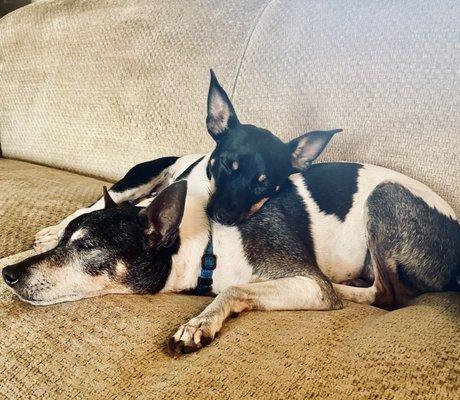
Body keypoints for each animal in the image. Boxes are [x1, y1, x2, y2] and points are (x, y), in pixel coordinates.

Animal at [1, 73, 458, 354]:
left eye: (88, 247)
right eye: (74, 243)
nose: (10, 276)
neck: (206, 245)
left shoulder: (308, 284)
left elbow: (236, 288)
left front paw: (199, 323)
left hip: (384, 197)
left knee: (389, 295)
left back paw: (350, 288)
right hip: (138, 178)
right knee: (104, 197)